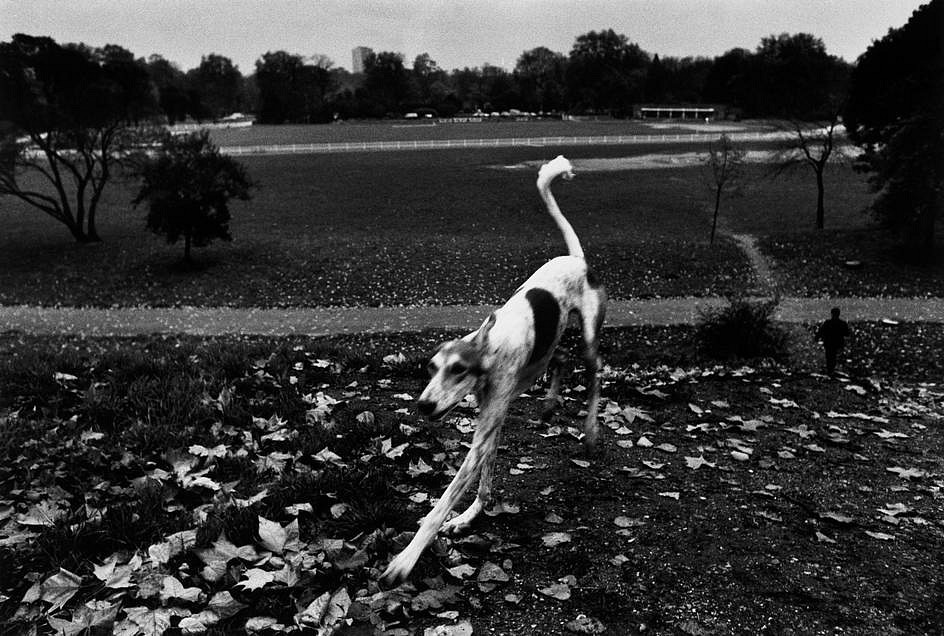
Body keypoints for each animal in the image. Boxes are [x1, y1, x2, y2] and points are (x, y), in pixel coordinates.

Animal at [380, 155, 608, 588]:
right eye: (431, 367)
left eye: (458, 369)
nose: (423, 405)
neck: (491, 347)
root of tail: (575, 258)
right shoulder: (491, 420)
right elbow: (485, 479)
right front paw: (471, 517)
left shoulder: (484, 429)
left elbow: (441, 505)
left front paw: (404, 561)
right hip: (544, 354)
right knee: (560, 359)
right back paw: (550, 405)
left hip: (588, 338)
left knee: (594, 373)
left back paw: (589, 430)